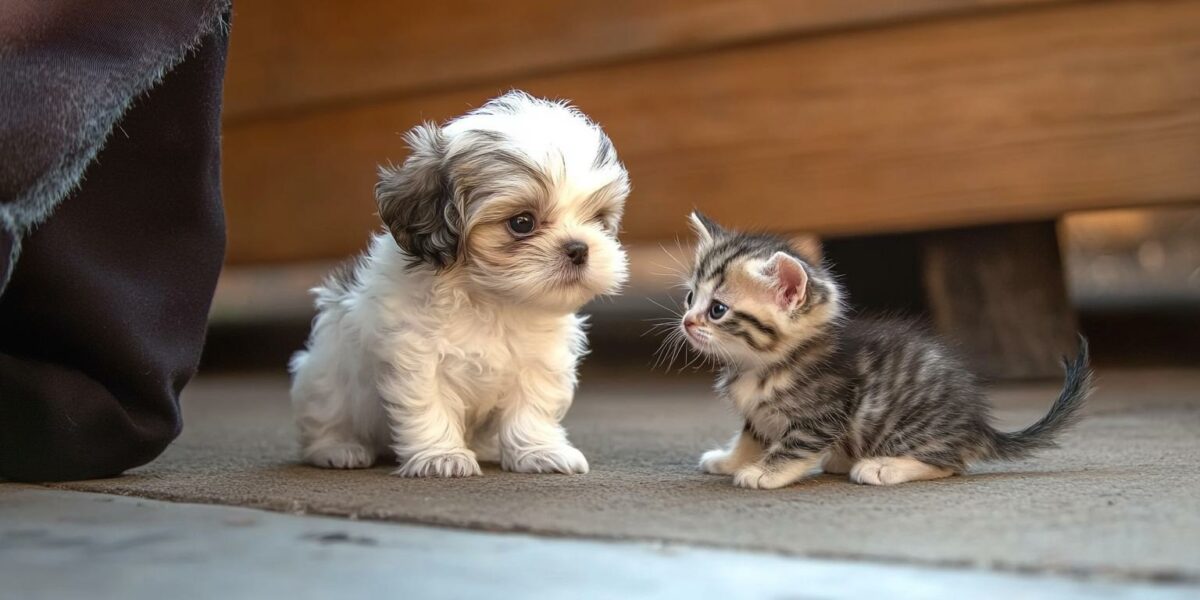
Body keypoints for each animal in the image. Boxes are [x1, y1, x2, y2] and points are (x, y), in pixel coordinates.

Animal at [290, 91, 633, 477]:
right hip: (325, 380)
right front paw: (441, 456)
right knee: (325, 420)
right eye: (522, 222)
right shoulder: (417, 356)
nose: (578, 248)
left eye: (599, 220)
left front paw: (540, 451)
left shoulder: (538, 361)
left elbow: (532, 408)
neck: (491, 300)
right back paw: (338, 449)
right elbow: (429, 405)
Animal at [672, 213, 1094, 489]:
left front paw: (762, 472)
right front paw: (731, 460)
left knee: (951, 462)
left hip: (903, 423)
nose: (687, 322)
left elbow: (792, 448)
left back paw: (882, 467)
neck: (758, 365)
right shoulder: (759, 416)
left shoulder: (821, 416)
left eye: (717, 309)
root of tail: (977, 426)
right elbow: (751, 436)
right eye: (691, 298)